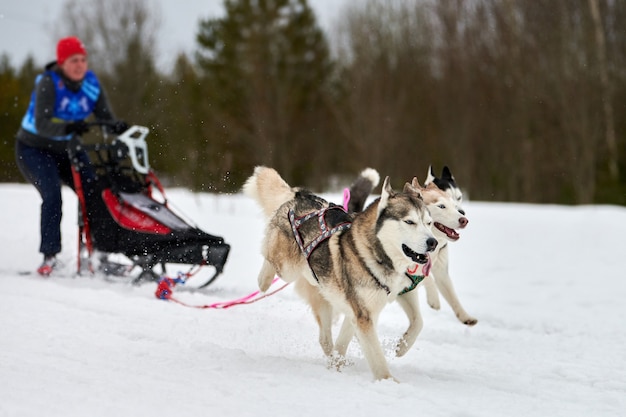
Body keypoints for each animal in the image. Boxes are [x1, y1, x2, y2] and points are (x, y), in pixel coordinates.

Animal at [241, 167, 436, 380]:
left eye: (429, 223)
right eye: (409, 221)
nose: (433, 242)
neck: (376, 255)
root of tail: (302, 196)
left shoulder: (371, 307)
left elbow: (417, 323)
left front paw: (400, 347)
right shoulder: (364, 316)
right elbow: (377, 357)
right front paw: (388, 381)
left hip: (327, 299)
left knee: (326, 340)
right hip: (288, 267)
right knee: (270, 260)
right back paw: (263, 281)